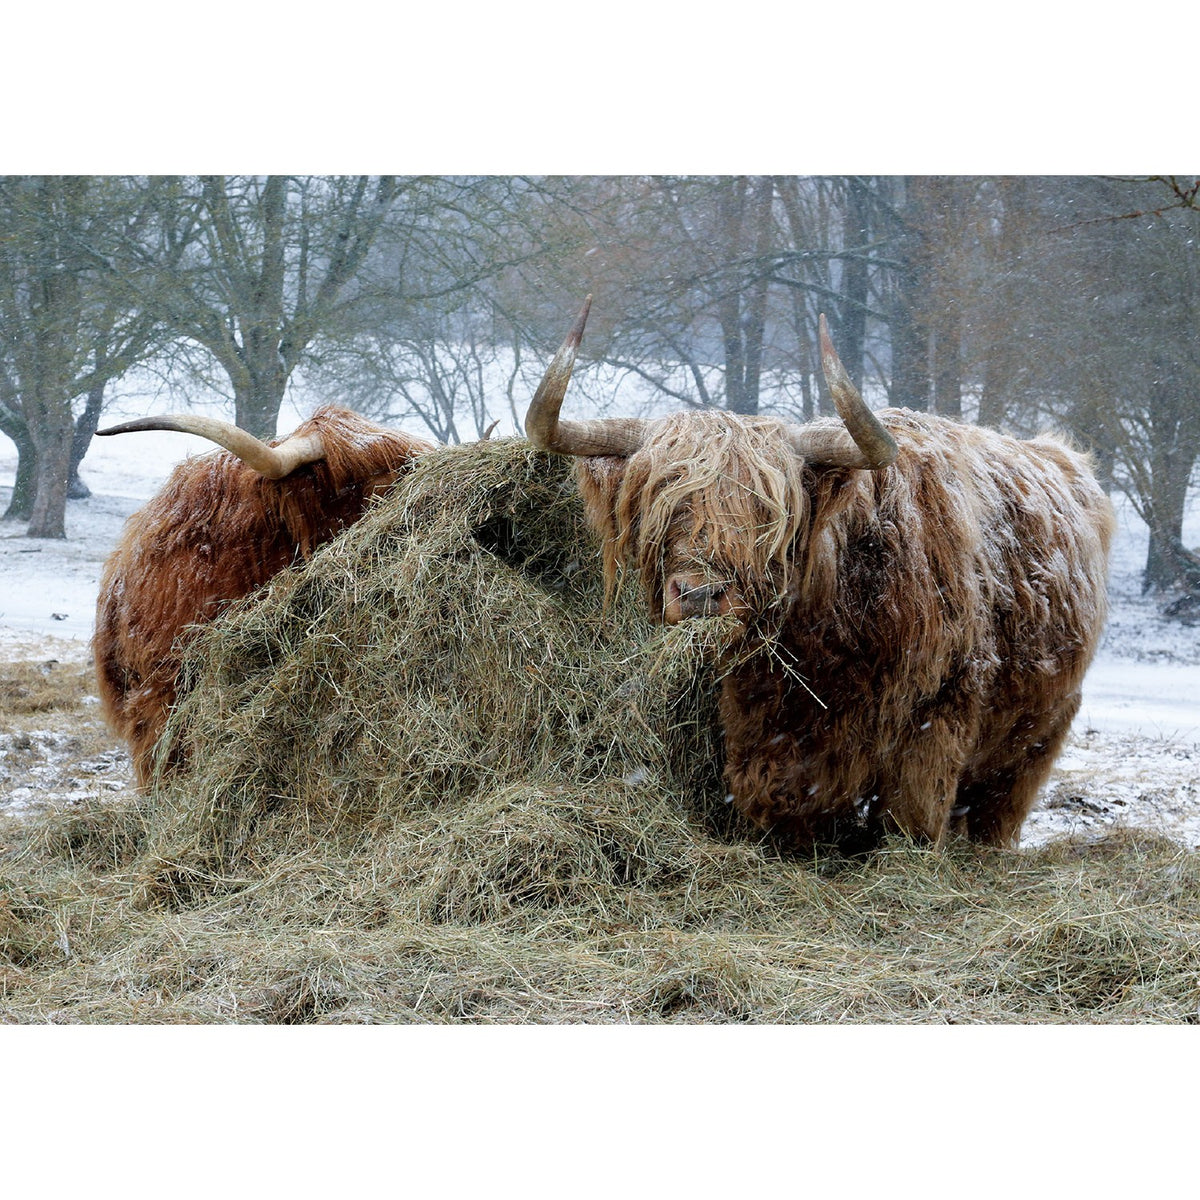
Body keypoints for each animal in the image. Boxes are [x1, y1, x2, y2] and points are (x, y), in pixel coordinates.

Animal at [527, 297, 1115, 851]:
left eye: (769, 513)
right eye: (659, 503)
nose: (699, 594)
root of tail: (1066, 457)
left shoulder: (941, 711)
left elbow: (911, 819)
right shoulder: (766, 734)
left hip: (1043, 728)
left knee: (999, 806)